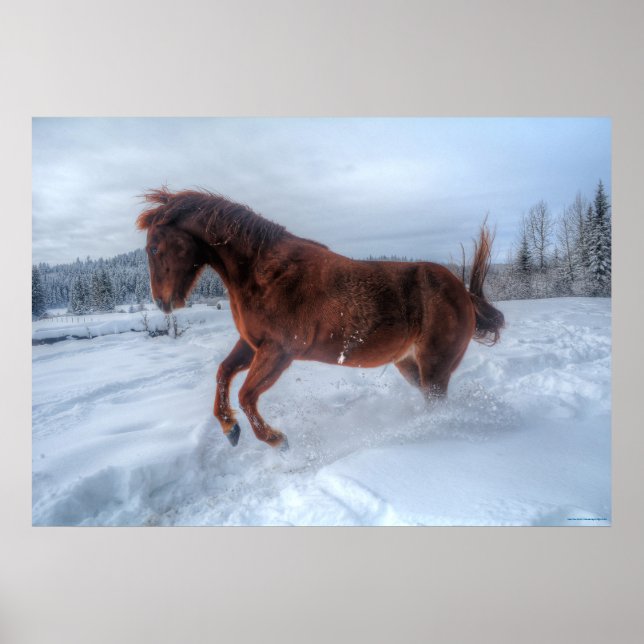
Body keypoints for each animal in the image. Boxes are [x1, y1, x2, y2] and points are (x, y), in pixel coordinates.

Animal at [137, 188, 504, 451]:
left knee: (436, 405)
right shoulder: (253, 344)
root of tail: (463, 294)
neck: (262, 273)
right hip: (410, 365)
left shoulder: (279, 352)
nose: (163, 302)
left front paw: (277, 440)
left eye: (154, 248)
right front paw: (230, 429)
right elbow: (223, 373)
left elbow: (246, 395)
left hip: (435, 368)